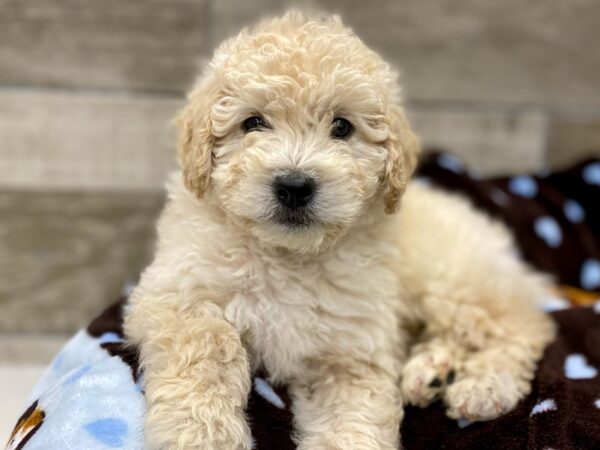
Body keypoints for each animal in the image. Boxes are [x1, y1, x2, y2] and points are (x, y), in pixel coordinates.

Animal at [124, 10, 556, 450]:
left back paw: (481, 388)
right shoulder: (182, 294)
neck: (288, 255)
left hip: (454, 281)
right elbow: (204, 352)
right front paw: (202, 434)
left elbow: (352, 416)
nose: (294, 185)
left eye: (343, 127)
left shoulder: (351, 348)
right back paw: (433, 372)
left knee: (523, 327)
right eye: (253, 123)